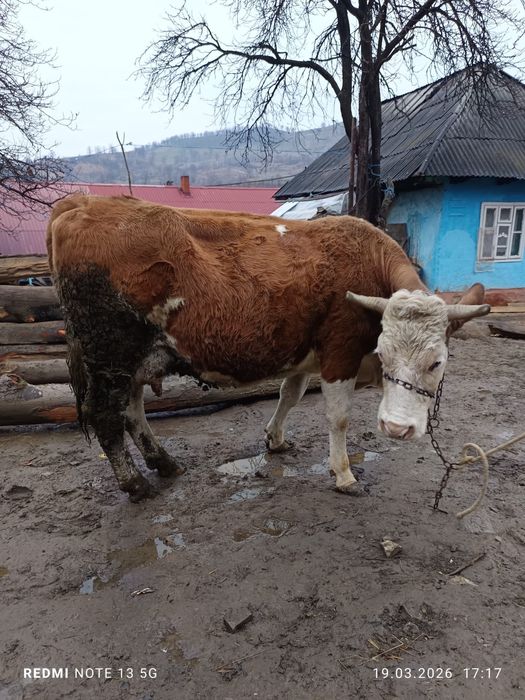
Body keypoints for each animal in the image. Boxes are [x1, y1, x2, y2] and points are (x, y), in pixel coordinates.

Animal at [46, 195, 490, 501]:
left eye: (437, 362)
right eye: (383, 354)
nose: (397, 429)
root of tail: (82, 202)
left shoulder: (304, 356)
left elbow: (288, 395)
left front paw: (275, 439)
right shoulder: (340, 352)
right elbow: (338, 417)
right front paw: (344, 474)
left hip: (136, 358)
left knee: (133, 410)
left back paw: (164, 463)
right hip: (109, 356)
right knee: (107, 417)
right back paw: (135, 483)